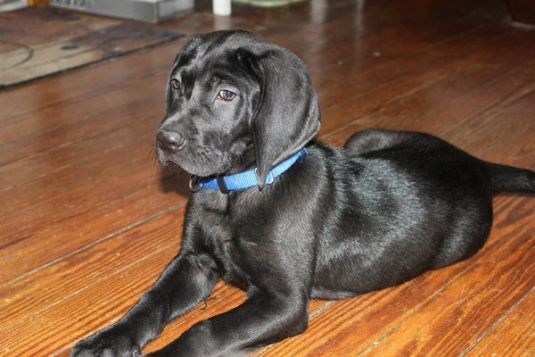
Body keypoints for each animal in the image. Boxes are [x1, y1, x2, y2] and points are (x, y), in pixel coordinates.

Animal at [72, 30, 535, 356]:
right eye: (176, 84)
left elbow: (205, 331)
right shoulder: (194, 261)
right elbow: (152, 299)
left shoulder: (285, 301)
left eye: (227, 94)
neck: (234, 192)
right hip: (363, 137)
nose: (165, 141)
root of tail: (471, 162)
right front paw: (109, 338)